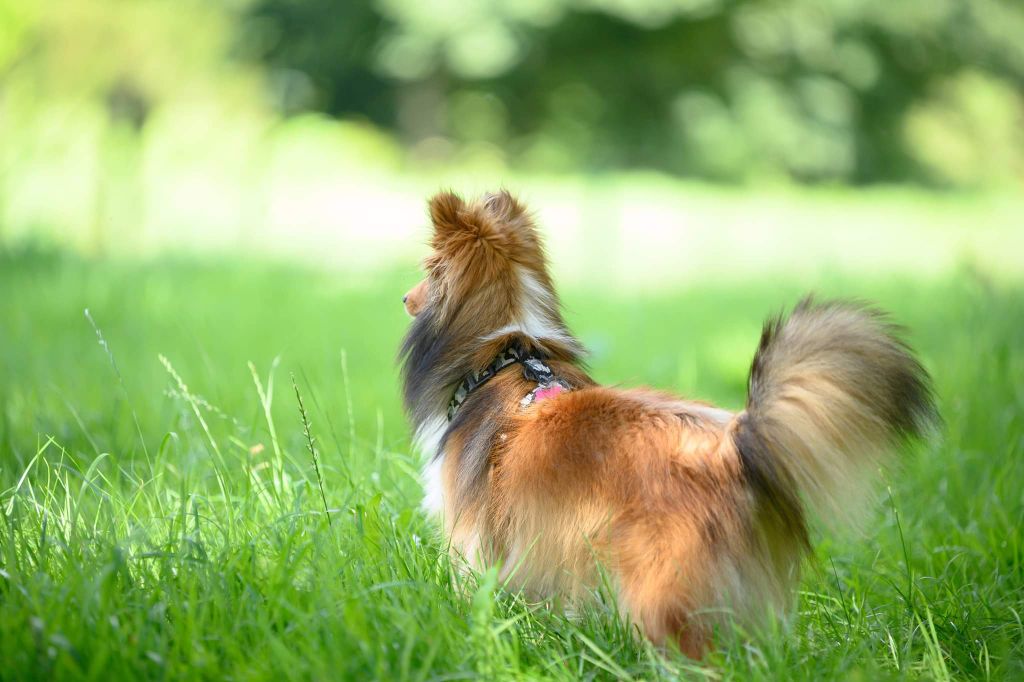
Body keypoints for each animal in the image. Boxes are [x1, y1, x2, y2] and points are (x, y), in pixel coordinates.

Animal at [397, 188, 937, 655]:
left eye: (427, 270)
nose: (404, 297)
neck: (505, 353)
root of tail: (738, 449)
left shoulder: (472, 544)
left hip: (660, 592)